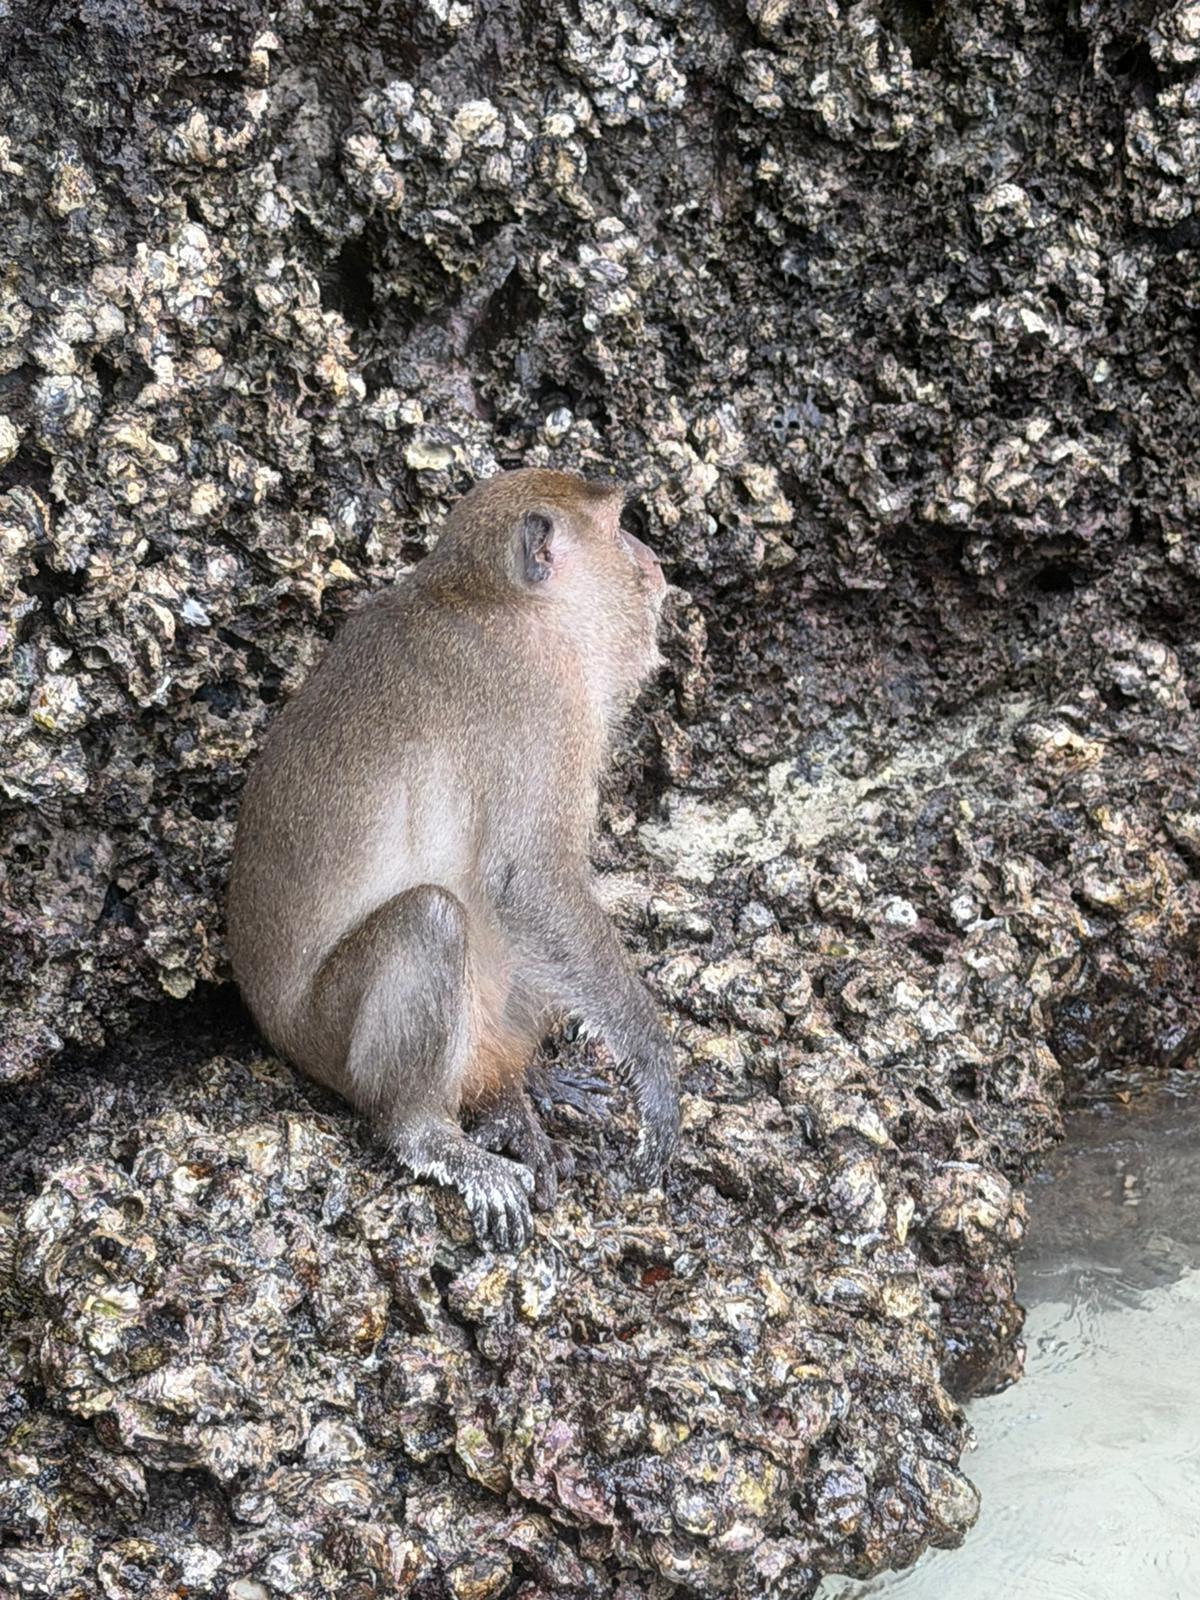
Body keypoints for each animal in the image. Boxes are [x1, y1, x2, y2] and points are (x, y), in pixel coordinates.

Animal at [227, 469, 680, 1249]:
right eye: (618, 524)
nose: (651, 558)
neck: (492, 598)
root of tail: (276, 1035)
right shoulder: (544, 702)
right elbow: (529, 883)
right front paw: (653, 1067)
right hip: (328, 1037)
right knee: (433, 919)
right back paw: (429, 1133)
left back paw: (512, 1090)